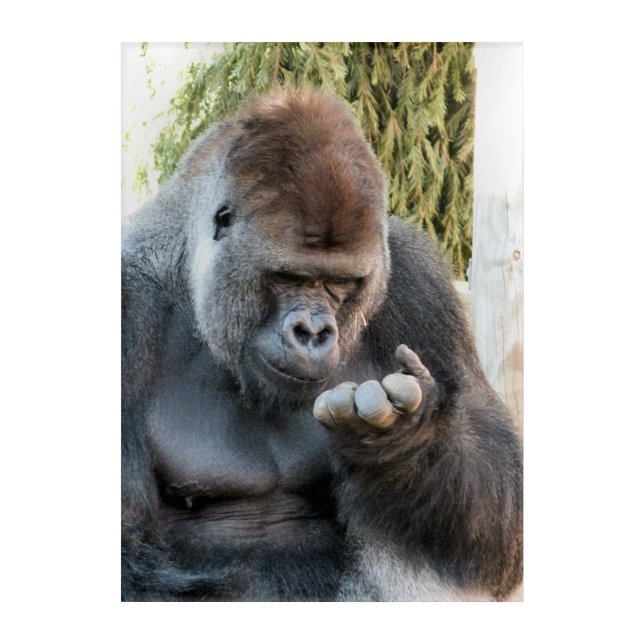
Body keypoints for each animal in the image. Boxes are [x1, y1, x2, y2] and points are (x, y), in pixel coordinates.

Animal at [121, 87, 522, 601]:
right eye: (289, 277)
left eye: (339, 283)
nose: (312, 333)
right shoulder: (128, 303)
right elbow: (131, 557)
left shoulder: (419, 283)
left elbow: (501, 524)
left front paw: (402, 442)